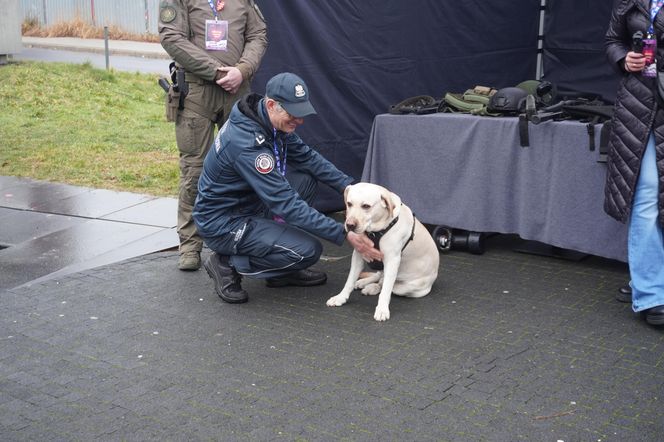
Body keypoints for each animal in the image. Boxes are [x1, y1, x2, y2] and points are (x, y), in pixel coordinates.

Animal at [328, 183, 440, 322]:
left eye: (366, 206)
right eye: (349, 204)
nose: (349, 225)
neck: (375, 230)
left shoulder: (392, 260)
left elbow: (386, 290)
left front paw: (382, 310)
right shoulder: (359, 254)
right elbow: (349, 281)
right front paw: (340, 297)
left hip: (409, 287)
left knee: (385, 284)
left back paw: (371, 287)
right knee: (379, 276)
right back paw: (363, 282)